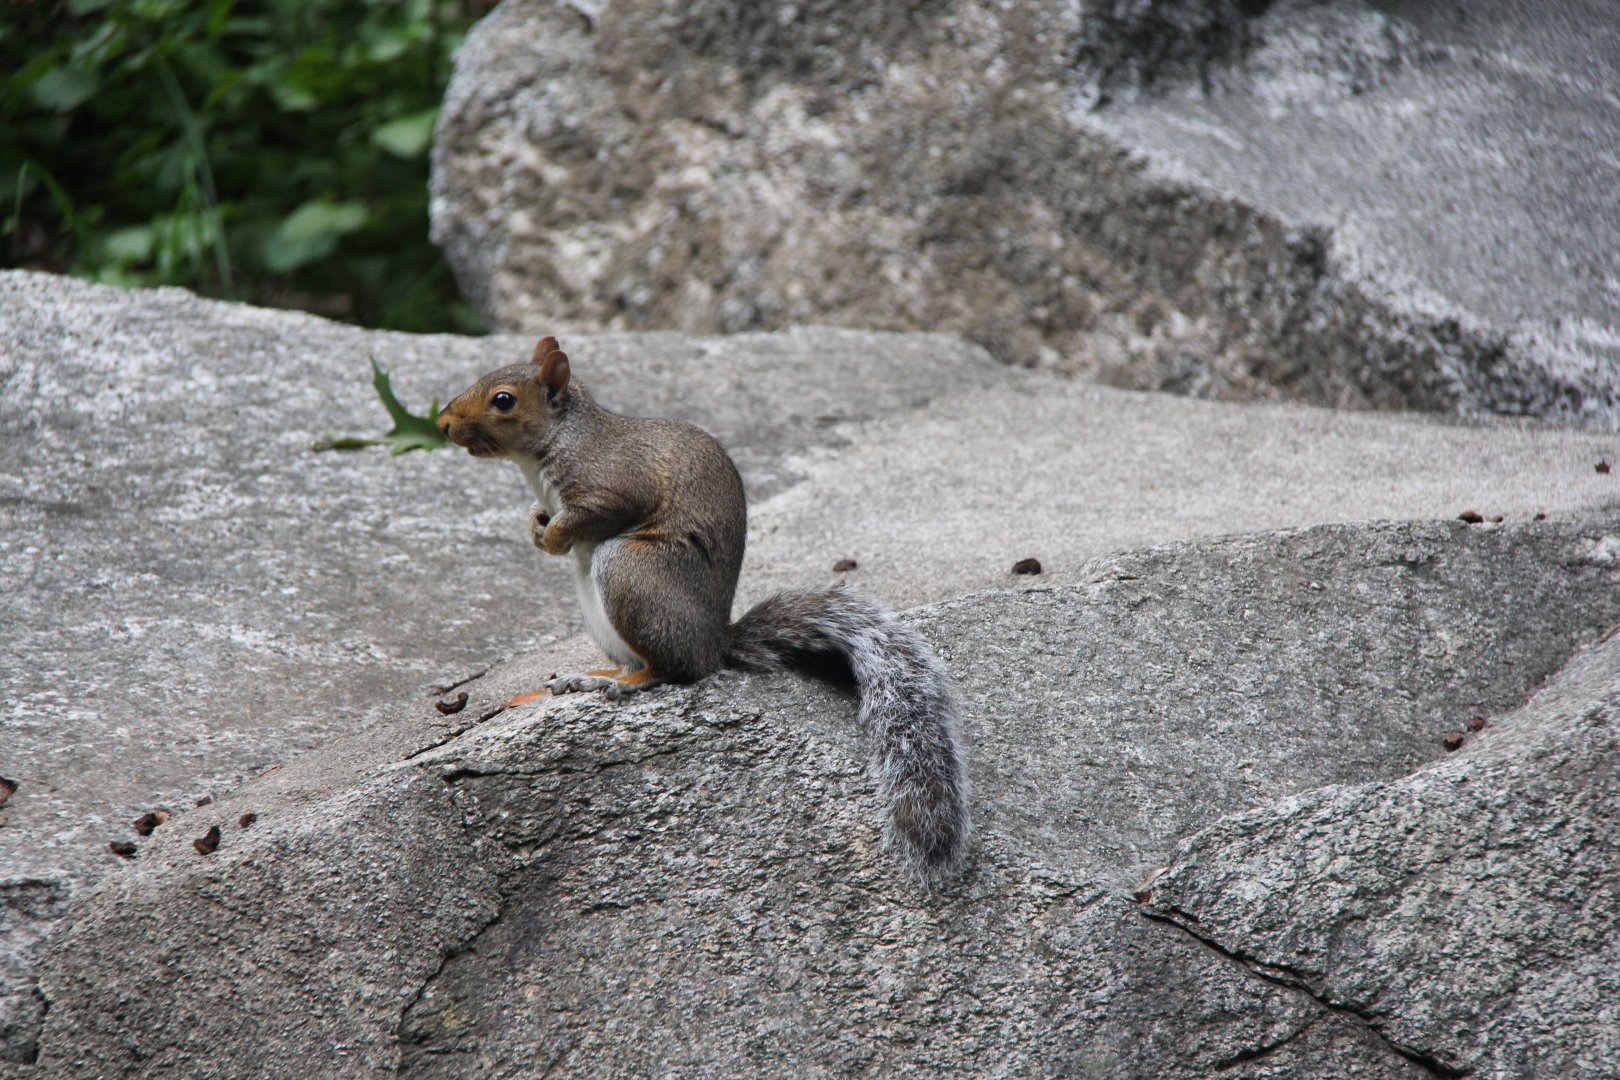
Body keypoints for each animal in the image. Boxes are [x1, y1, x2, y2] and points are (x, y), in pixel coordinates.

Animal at [435, 336, 969, 883]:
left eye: (503, 400)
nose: (443, 424)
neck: (562, 440)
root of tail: (715, 641)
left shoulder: (614, 483)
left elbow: (597, 511)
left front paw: (556, 536)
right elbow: (539, 515)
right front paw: (536, 528)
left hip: (628, 571)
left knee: (670, 669)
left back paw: (621, 683)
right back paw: (588, 676)